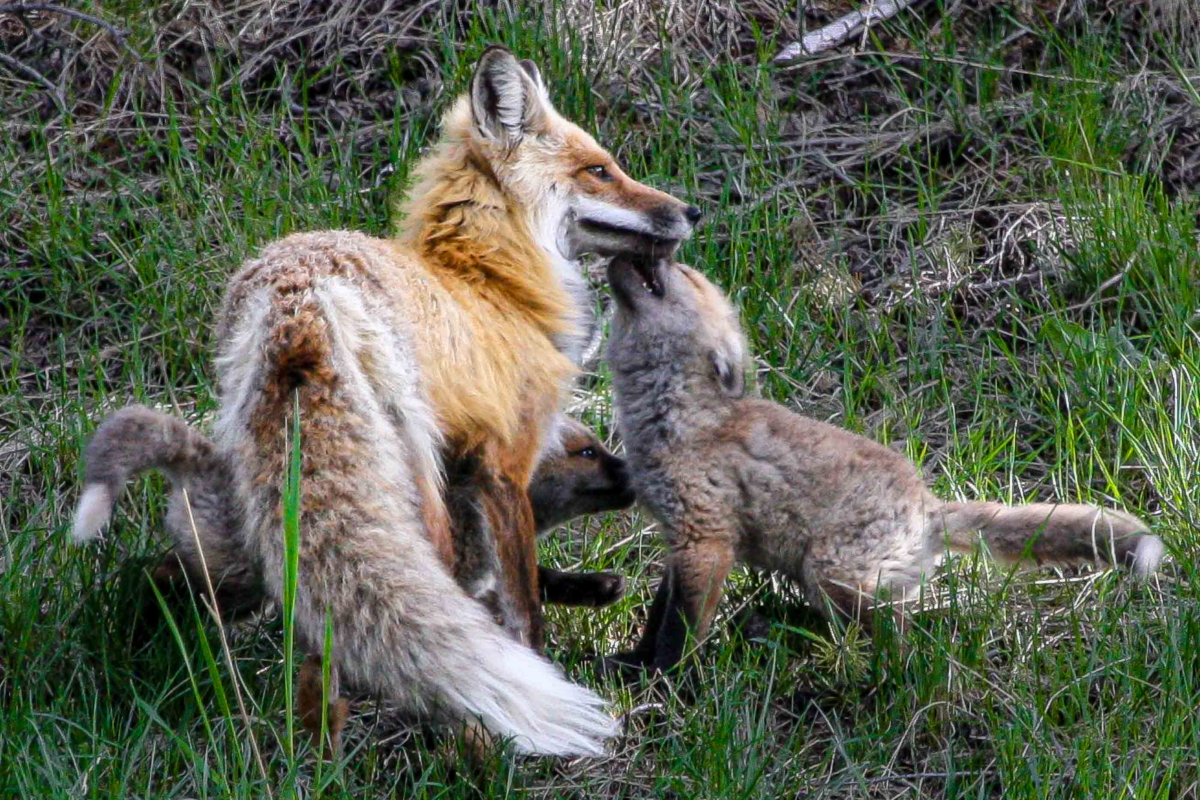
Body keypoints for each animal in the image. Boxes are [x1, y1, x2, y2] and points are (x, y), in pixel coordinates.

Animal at [72, 46, 696, 756]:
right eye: (600, 170)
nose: (691, 213)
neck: (493, 284)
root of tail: (299, 301)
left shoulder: (468, 468)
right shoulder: (503, 465)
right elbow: (525, 609)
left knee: (310, 638)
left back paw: (311, 754)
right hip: (413, 482)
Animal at [601, 256, 1164, 674]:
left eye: (683, 273)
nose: (641, 246)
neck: (680, 418)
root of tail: (928, 507)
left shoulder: (706, 539)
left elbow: (680, 632)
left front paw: (667, 685)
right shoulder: (678, 540)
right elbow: (657, 618)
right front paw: (632, 665)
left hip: (830, 574)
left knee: (903, 635)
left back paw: (895, 680)